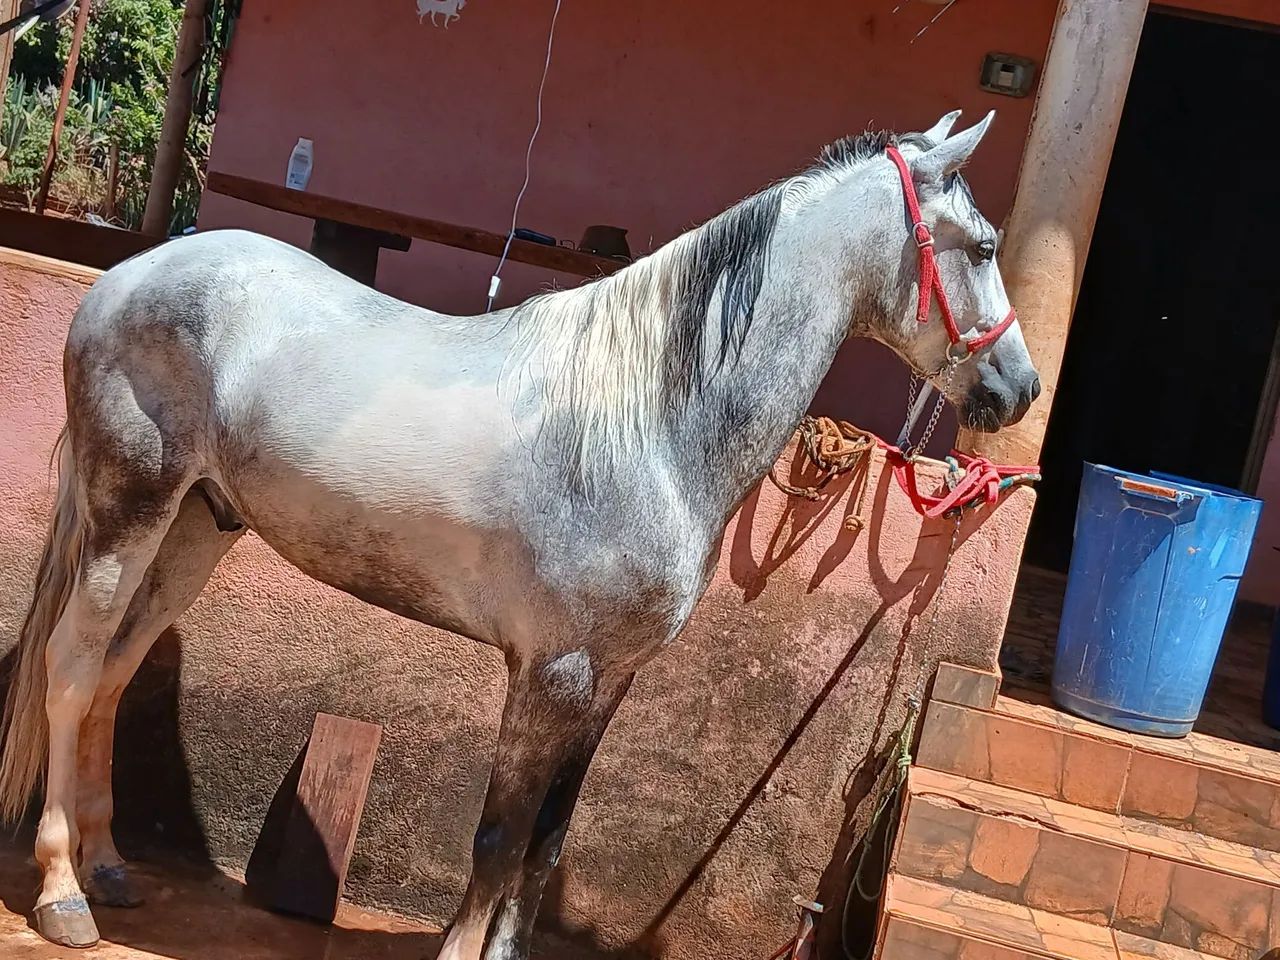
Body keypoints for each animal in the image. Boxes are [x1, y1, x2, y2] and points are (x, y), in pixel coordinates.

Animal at [0, 110, 1037, 958]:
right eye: (985, 245)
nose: (1019, 391)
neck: (646, 421)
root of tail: (130, 273)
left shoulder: (609, 683)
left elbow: (544, 847)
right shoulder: (551, 674)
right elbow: (499, 842)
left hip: (196, 527)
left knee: (118, 671)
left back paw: (108, 867)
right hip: (128, 507)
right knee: (72, 667)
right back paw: (62, 895)